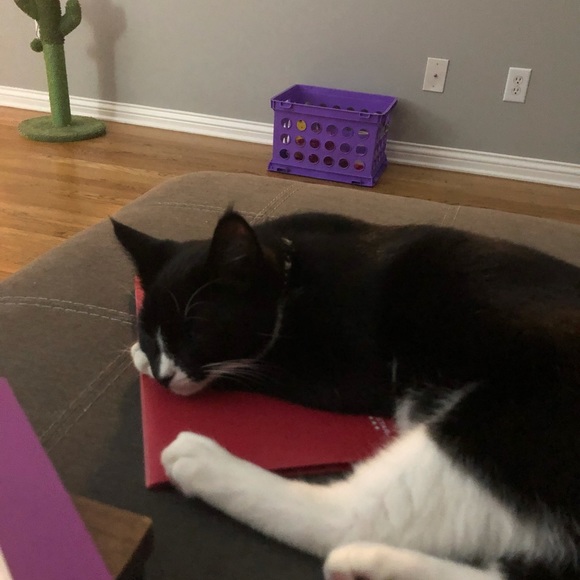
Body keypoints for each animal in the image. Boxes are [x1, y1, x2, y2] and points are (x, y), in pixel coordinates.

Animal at [113, 209, 580, 580]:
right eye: (148, 331)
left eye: (196, 333)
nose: (163, 375)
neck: (288, 273)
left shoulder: (346, 373)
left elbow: (253, 369)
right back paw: (366, 566)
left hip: (502, 424)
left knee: (354, 518)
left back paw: (199, 460)